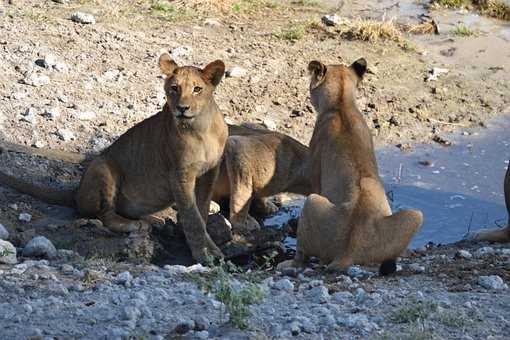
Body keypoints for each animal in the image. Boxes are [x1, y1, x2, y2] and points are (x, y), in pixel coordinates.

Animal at [278, 58, 422, 274]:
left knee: (301, 255)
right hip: (415, 215)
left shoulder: (315, 175)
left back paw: (287, 263)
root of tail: (348, 251)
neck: (341, 103)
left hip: (311, 201)